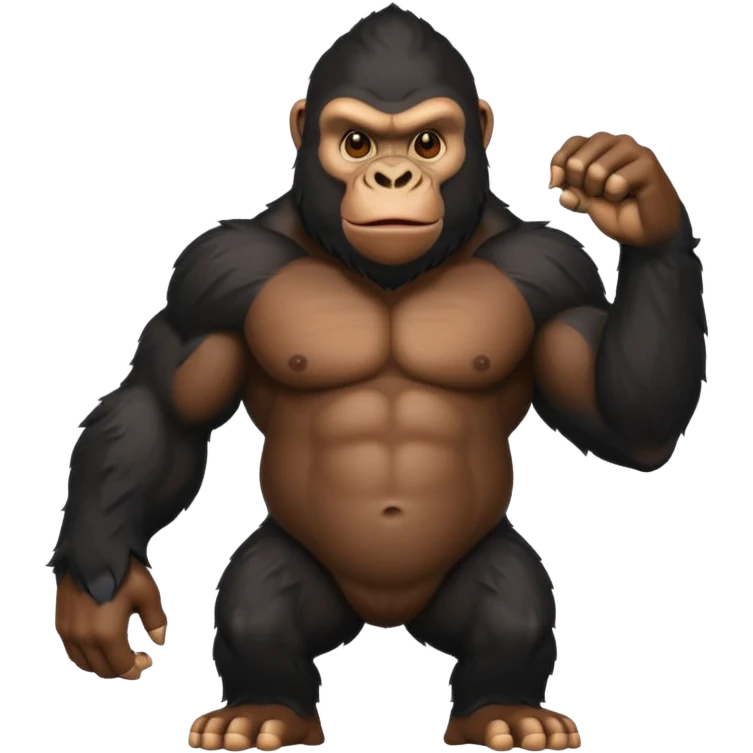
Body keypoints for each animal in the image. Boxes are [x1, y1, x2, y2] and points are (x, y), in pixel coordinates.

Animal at [49, 5, 707, 752]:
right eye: (358, 143)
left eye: (426, 142)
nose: (393, 177)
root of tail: (387, 616)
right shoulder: (215, 271)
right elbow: (165, 411)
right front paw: (98, 586)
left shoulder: (553, 270)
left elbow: (625, 425)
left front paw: (638, 203)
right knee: (259, 602)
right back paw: (268, 706)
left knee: (509, 601)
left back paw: (502, 707)